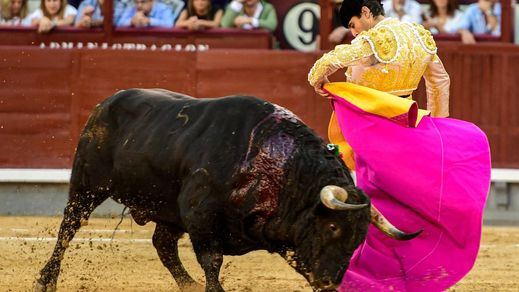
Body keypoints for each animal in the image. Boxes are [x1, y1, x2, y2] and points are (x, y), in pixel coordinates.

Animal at [35, 89, 418, 292]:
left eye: (360, 238)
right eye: (334, 226)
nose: (328, 283)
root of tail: (105, 103)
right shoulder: (200, 214)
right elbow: (212, 259)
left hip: (166, 209)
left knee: (163, 245)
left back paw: (188, 285)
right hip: (87, 185)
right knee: (68, 227)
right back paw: (46, 279)